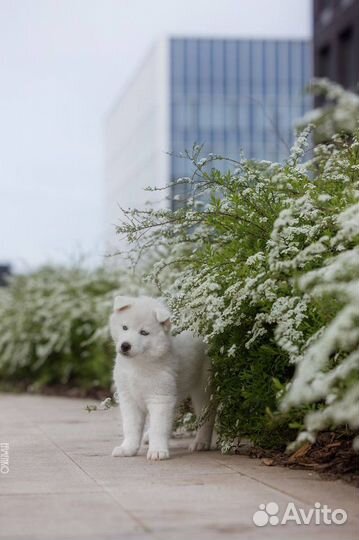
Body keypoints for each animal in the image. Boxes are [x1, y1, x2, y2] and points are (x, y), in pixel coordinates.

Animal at [111, 296, 215, 460]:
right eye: (125, 327)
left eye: (144, 332)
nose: (125, 346)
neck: (139, 364)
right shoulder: (129, 398)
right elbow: (131, 427)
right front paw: (127, 449)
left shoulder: (160, 398)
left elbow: (158, 427)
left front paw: (157, 451)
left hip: (202, 389)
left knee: (206, 418)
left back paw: (201, 443)